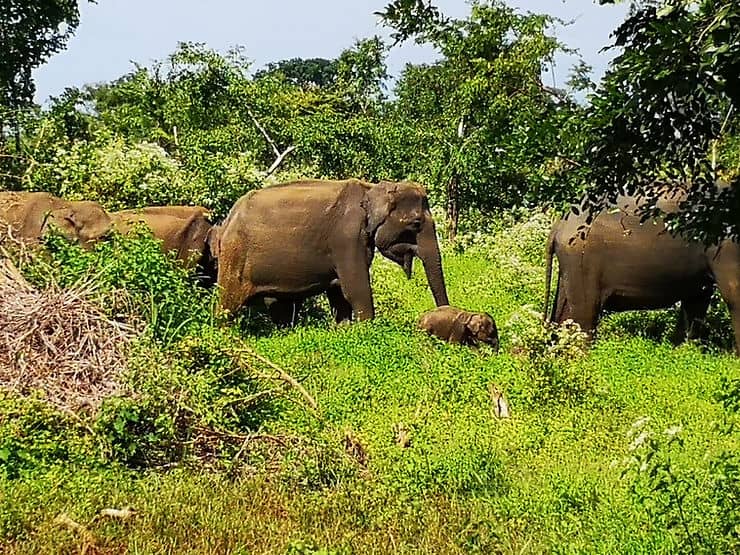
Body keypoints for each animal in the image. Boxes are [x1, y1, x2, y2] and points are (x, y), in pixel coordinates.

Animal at [215, 179, 450, 322]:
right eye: (416, 223)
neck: (371, 188)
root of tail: (228, 218)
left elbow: (338, 292)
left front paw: (344, 329)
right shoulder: (347, 238)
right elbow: (355, 288)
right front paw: (367, 328)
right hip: (234, 256)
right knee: (227, 304)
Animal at [544, 193, 740, 354]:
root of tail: (559, 224)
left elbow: (697, 299)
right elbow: (733, 295)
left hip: (573, 265)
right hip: (582, 260)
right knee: (585, 314)